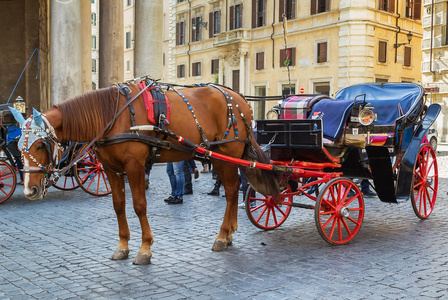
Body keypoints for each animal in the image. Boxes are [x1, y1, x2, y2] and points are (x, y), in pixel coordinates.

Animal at [11, 80, 280, 264]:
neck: (112, 116)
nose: (30, 189)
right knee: (233, 191)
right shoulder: (110, 169)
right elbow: (118, 205)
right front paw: (122, 245)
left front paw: (145, 249)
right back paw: (230, 233)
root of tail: (238, 97)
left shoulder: (135, 166)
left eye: (39, 145)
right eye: (17, 145)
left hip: (227, 152)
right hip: (220, 156)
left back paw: (222, 236)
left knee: (233, 190)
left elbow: (139, 205)